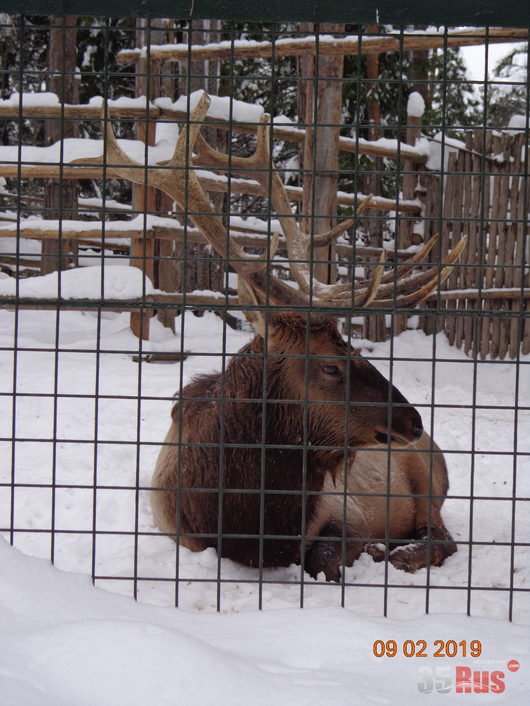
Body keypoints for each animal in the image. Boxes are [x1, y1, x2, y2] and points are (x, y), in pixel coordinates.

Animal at [79, 92, 462, 576]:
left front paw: (374, 551)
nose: (414, 422)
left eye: (357, 351)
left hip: (429, 481)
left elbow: (324, 558)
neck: (248, 519)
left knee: (441, 537)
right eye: (331, 366)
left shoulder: (346, 510)